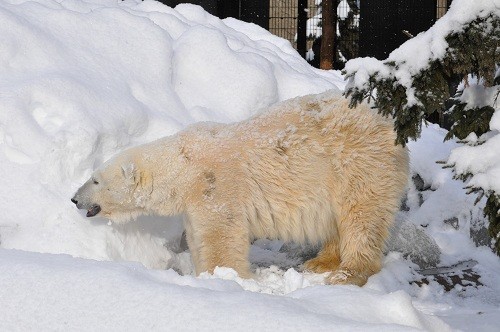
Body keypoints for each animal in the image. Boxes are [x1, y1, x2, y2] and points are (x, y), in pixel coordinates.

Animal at [73, 90, 410, 286]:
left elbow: (220, 236)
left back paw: (347, 273)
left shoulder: (215, 187)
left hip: (357, 164)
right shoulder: (193, 203)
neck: (183, 164)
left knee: (361, 218)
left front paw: (223, 277)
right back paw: (319, 262)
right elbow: (197, 236)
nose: (74, 199)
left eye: (95, 180)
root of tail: (387, 122)